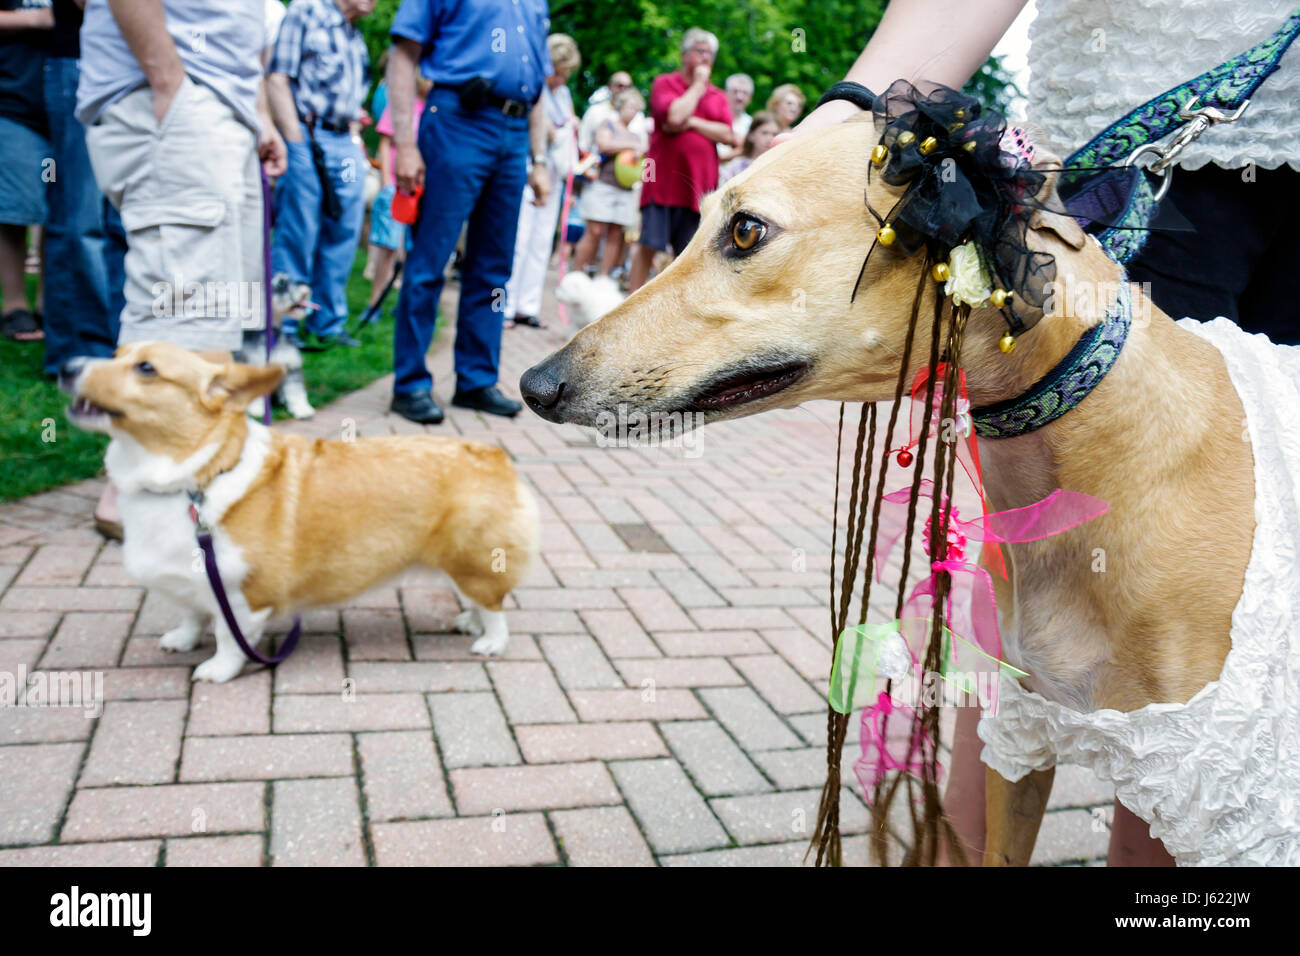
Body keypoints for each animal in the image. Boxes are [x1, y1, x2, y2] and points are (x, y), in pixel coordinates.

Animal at [59, 343, 538, 681]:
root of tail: (496, 456)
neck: (196, 478)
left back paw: (491, 642)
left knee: (494, 605)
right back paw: (468, 621)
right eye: (116, 353)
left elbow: (229, 636)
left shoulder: (244, 595)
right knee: (478, 599)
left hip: (472, 559)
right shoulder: (193, 581)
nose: (65, 367)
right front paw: (181, 639)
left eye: (146, 369)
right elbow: (192, 614)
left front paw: (217, 669)